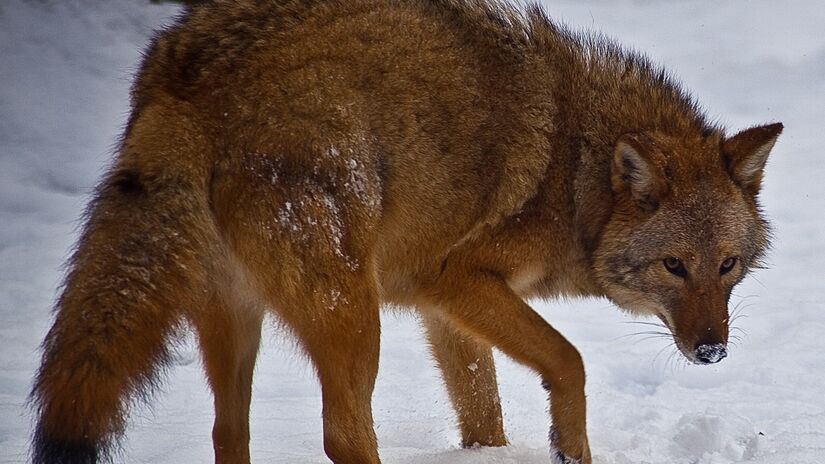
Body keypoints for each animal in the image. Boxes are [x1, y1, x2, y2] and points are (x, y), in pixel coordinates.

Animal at [31, 1, 782, 463]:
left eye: (727, 267)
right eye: (673, 266)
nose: (712, 351)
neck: (577, 176)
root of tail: (188, 75)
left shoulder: (442, 308)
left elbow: (483, 412)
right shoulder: (456, 279)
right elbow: (569, 360)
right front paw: (568, 447)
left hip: (240, 319)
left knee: (227, 432)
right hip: (352, 314)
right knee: (341, 435)